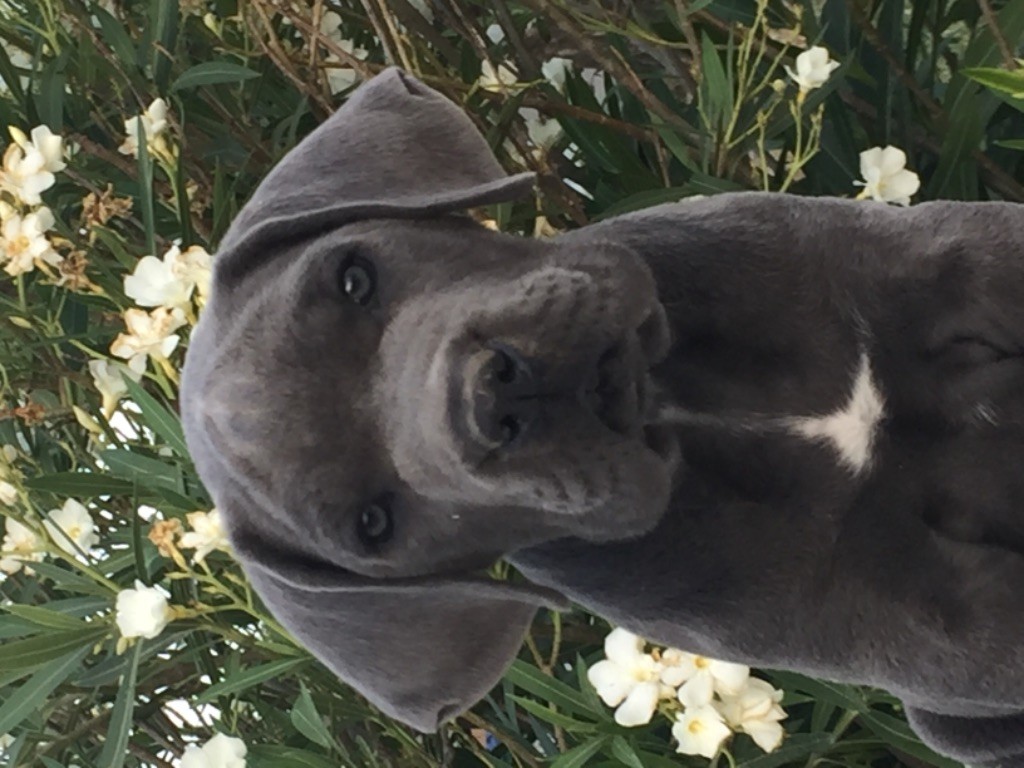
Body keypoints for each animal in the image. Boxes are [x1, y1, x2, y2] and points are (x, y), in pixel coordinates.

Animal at [182, 69, 1024, 765]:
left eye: (353, 277)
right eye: (372, 524)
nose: (491, 395)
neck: (685, 402)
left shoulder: (960, 258)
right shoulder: (941, 631)